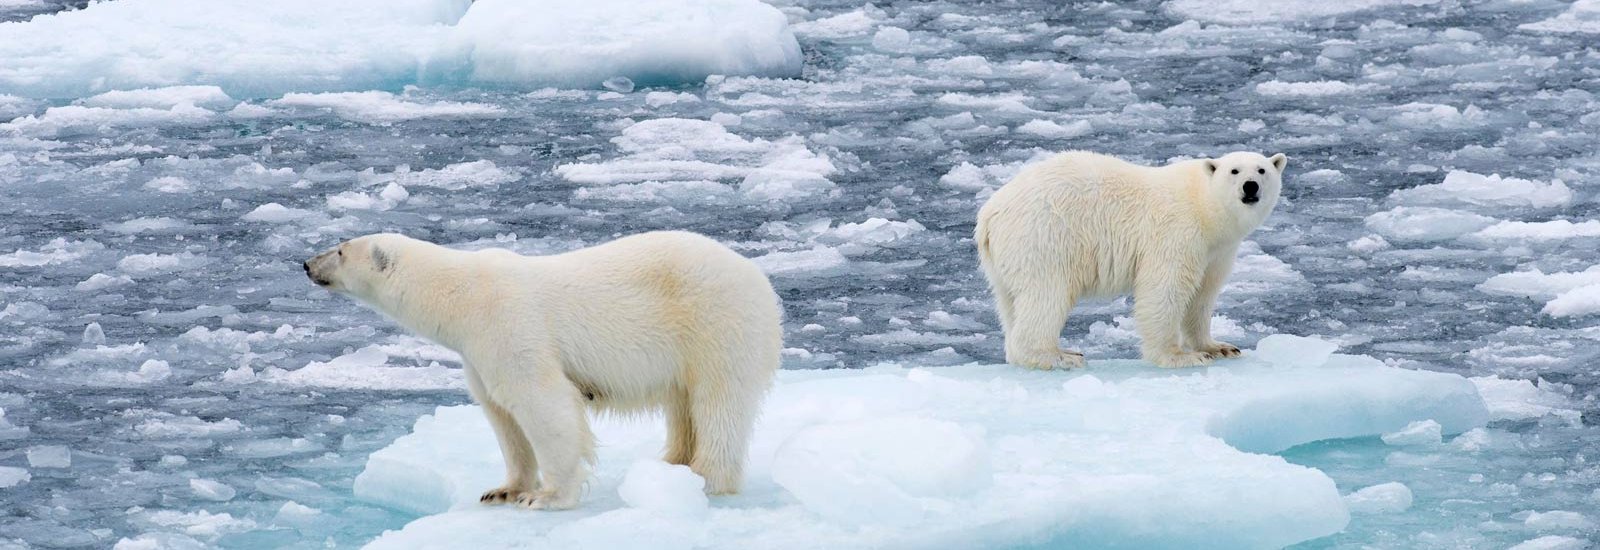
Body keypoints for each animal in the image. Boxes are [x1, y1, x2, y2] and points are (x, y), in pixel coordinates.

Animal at [304, 231, 782, 509]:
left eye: (340, 250)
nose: (307, 263)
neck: (462, 296)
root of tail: (759, 277)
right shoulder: (477, 354)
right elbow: (502, 415)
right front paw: (502, 490)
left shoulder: (509, 326)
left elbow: (543, 403)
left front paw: (548, 496)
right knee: (682, 406)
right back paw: (671, 465)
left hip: (717, 325)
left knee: (719, 403)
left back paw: (706, 478)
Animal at [974, 151, 1286, 369]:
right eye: (1234, 170)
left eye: (1262, 169)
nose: (1250, 186)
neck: (1205, 207)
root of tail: (990, 213)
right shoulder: (1177, 232)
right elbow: (1164, 289)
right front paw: (1179, 356)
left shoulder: (1217, 251)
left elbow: (1203, 295)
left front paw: (1219, 347)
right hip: (1044, 238)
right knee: (1047, 295)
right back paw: (1061, 356)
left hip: (1006, 258)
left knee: (1010, 302)